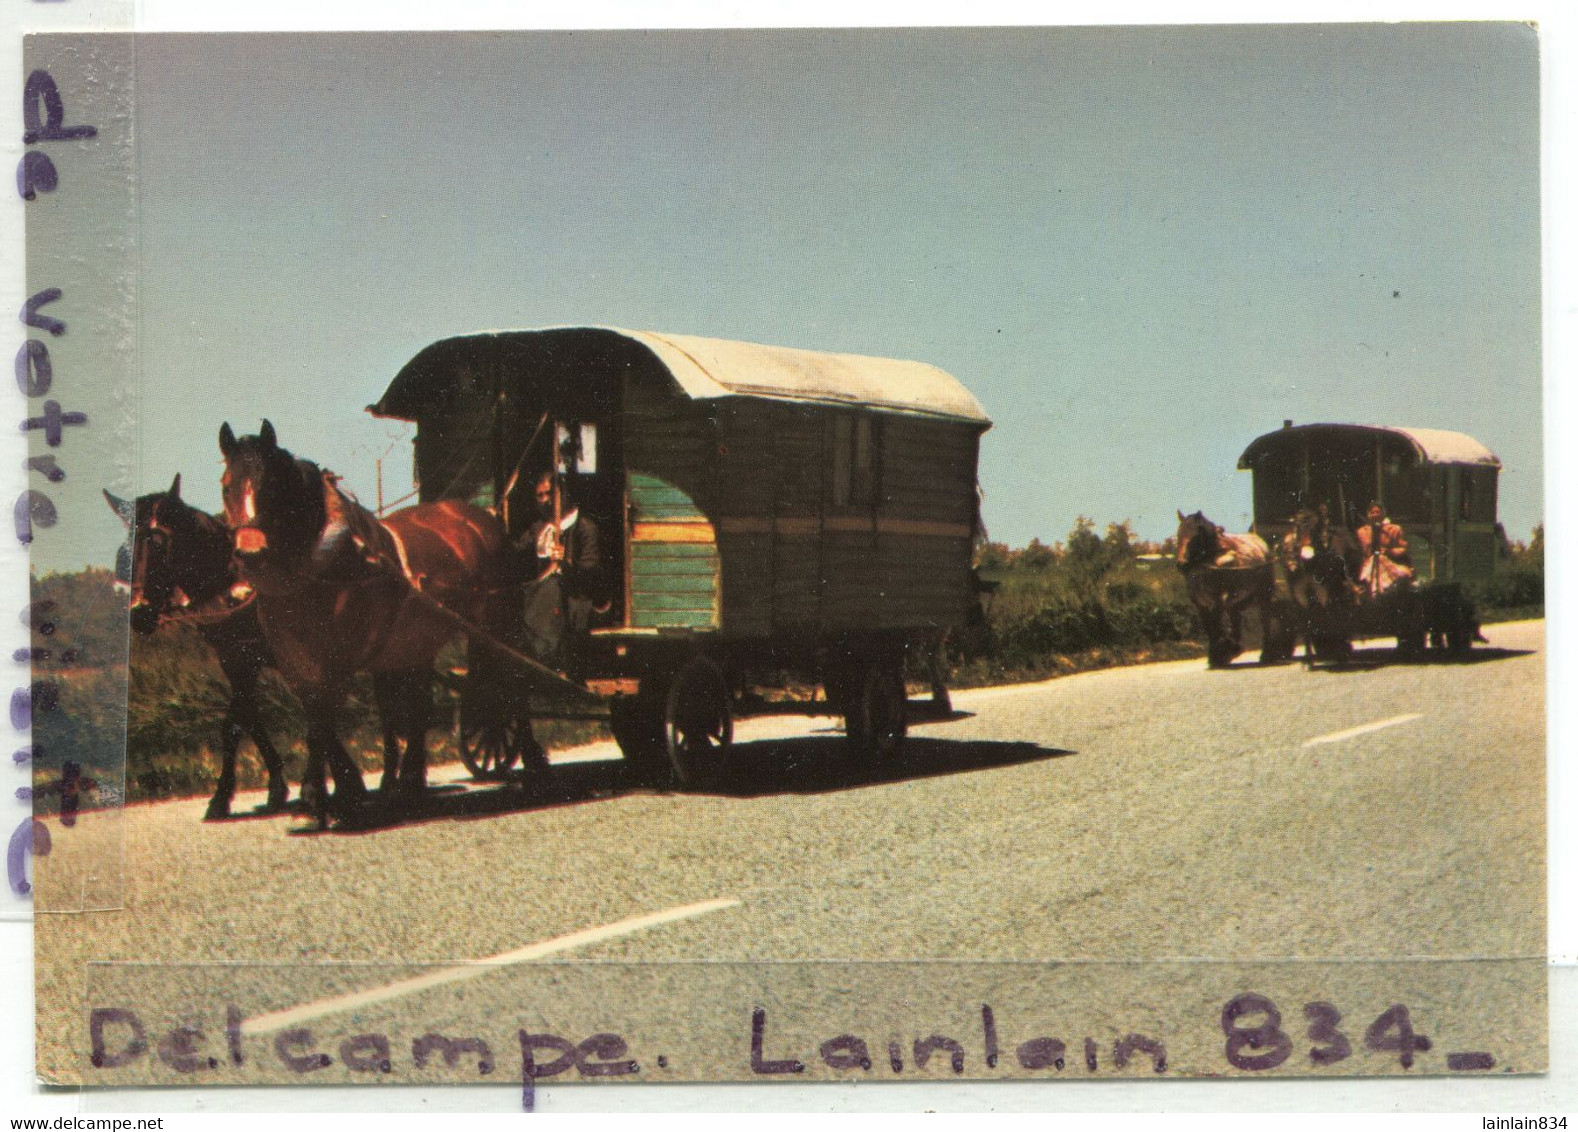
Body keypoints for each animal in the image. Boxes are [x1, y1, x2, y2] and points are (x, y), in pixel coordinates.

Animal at [217, 419, 504, 827]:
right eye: (227, 485)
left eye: (271, 483)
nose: (250, 552)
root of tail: (474, 515)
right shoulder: (293, 664)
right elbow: (316, 721)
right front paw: (324, 796)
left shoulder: (336, 661)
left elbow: (321, 727)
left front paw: (319, 799)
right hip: (416, 644)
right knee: (420, 707)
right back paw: (409, 784)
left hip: (494, 623)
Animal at [1174, 511, 1281, 666]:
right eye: (1179, 533)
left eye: (1195, 535)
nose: (1181, 564)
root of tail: (1262, 545)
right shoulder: (1200, 603)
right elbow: (1209, 626)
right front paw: (1219, 654)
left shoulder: (1219, 599)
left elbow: (1216, 623)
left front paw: (1221, 652)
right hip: (1237, 598)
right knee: (1236, 618)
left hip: (1263, 593)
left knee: (1265, 619)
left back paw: (1266, 654)